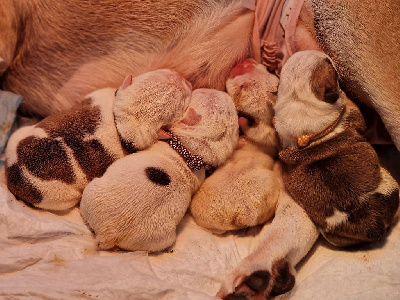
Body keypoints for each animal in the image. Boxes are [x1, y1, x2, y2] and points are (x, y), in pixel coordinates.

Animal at [3, 69, 192, 211]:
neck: (121, 120)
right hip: (57, 197)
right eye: (183, 103)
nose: (185, 79)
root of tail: (14, 174)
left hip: (17, 136)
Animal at [276, 49, 400, 246]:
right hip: (391, 183)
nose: (324, 54)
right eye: (329, 65)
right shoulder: (353, 112)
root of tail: (373, 226)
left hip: (333, 237)